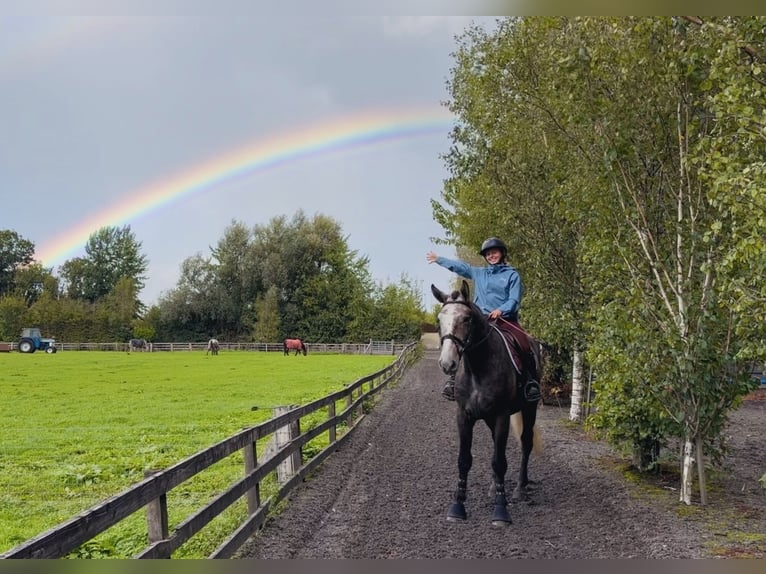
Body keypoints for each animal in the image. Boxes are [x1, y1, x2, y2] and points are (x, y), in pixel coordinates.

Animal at [431, 280, 542, 525]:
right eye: (439, 319)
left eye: (466, 319)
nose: (447, 363)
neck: (479, 369)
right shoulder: (464, 417)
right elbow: (464, 460)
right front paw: (457, 507)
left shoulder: (502, 416)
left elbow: (500, 462)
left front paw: (501, 511)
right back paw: (494, 487)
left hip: (529, 408)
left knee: (526, 443)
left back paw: (520, 488)